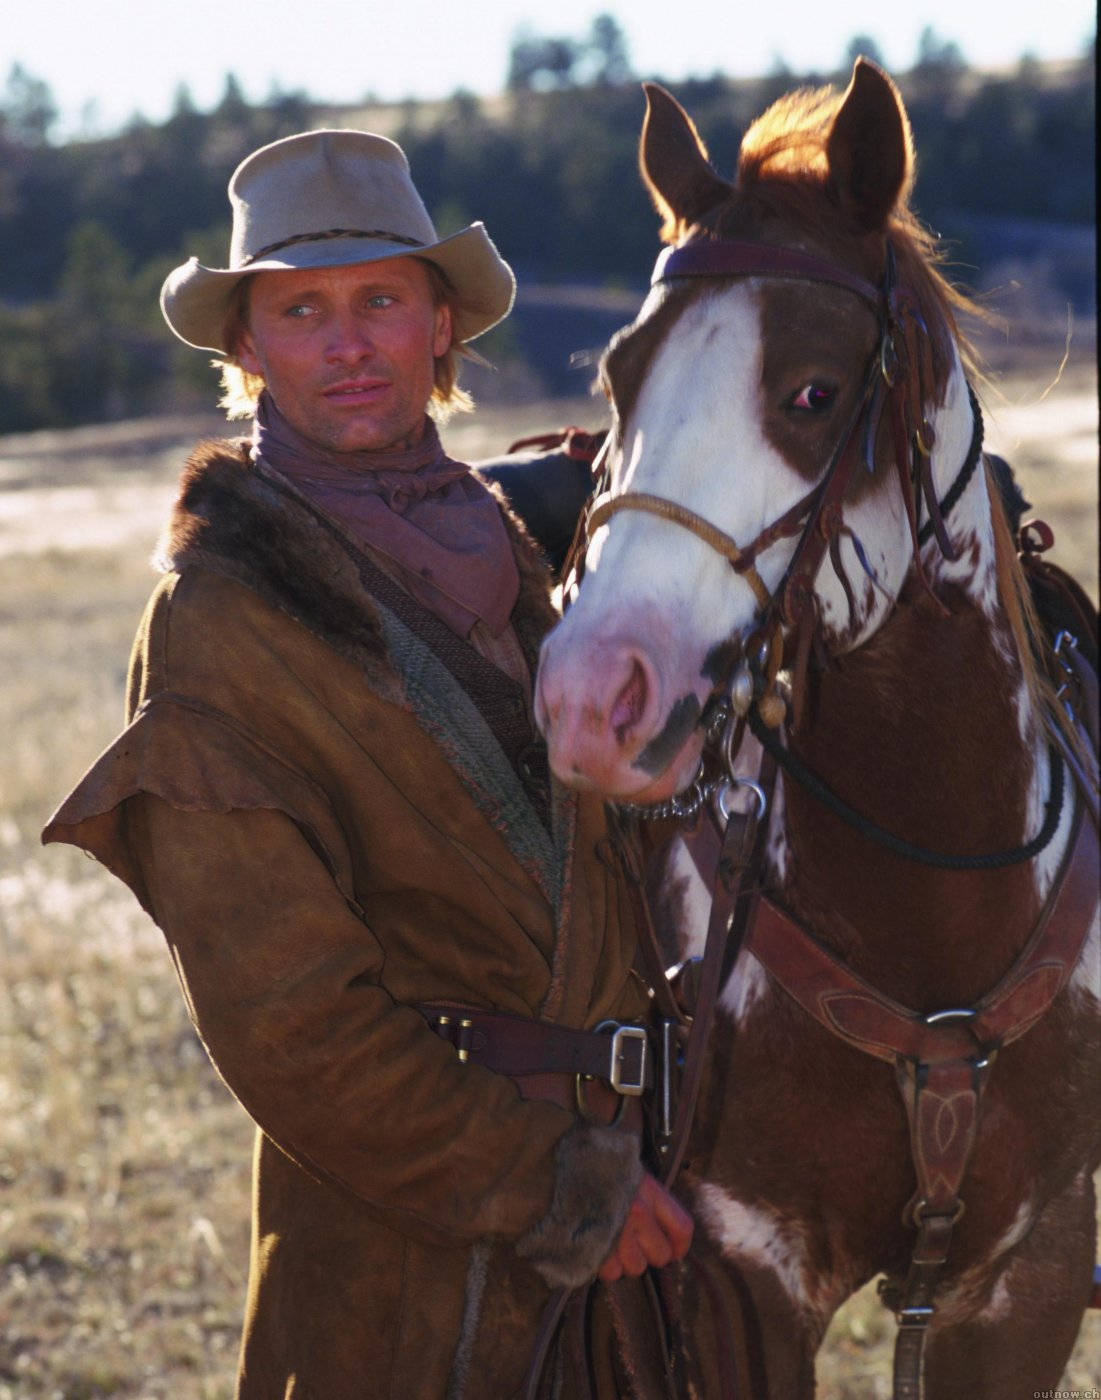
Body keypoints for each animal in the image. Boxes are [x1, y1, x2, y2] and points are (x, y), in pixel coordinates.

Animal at [535, 60, 1098, 1394]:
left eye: (813, 391)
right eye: (619, 376)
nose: (588, 697)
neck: (935, 897)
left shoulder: (1033, 1278)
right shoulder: (738, 1282)